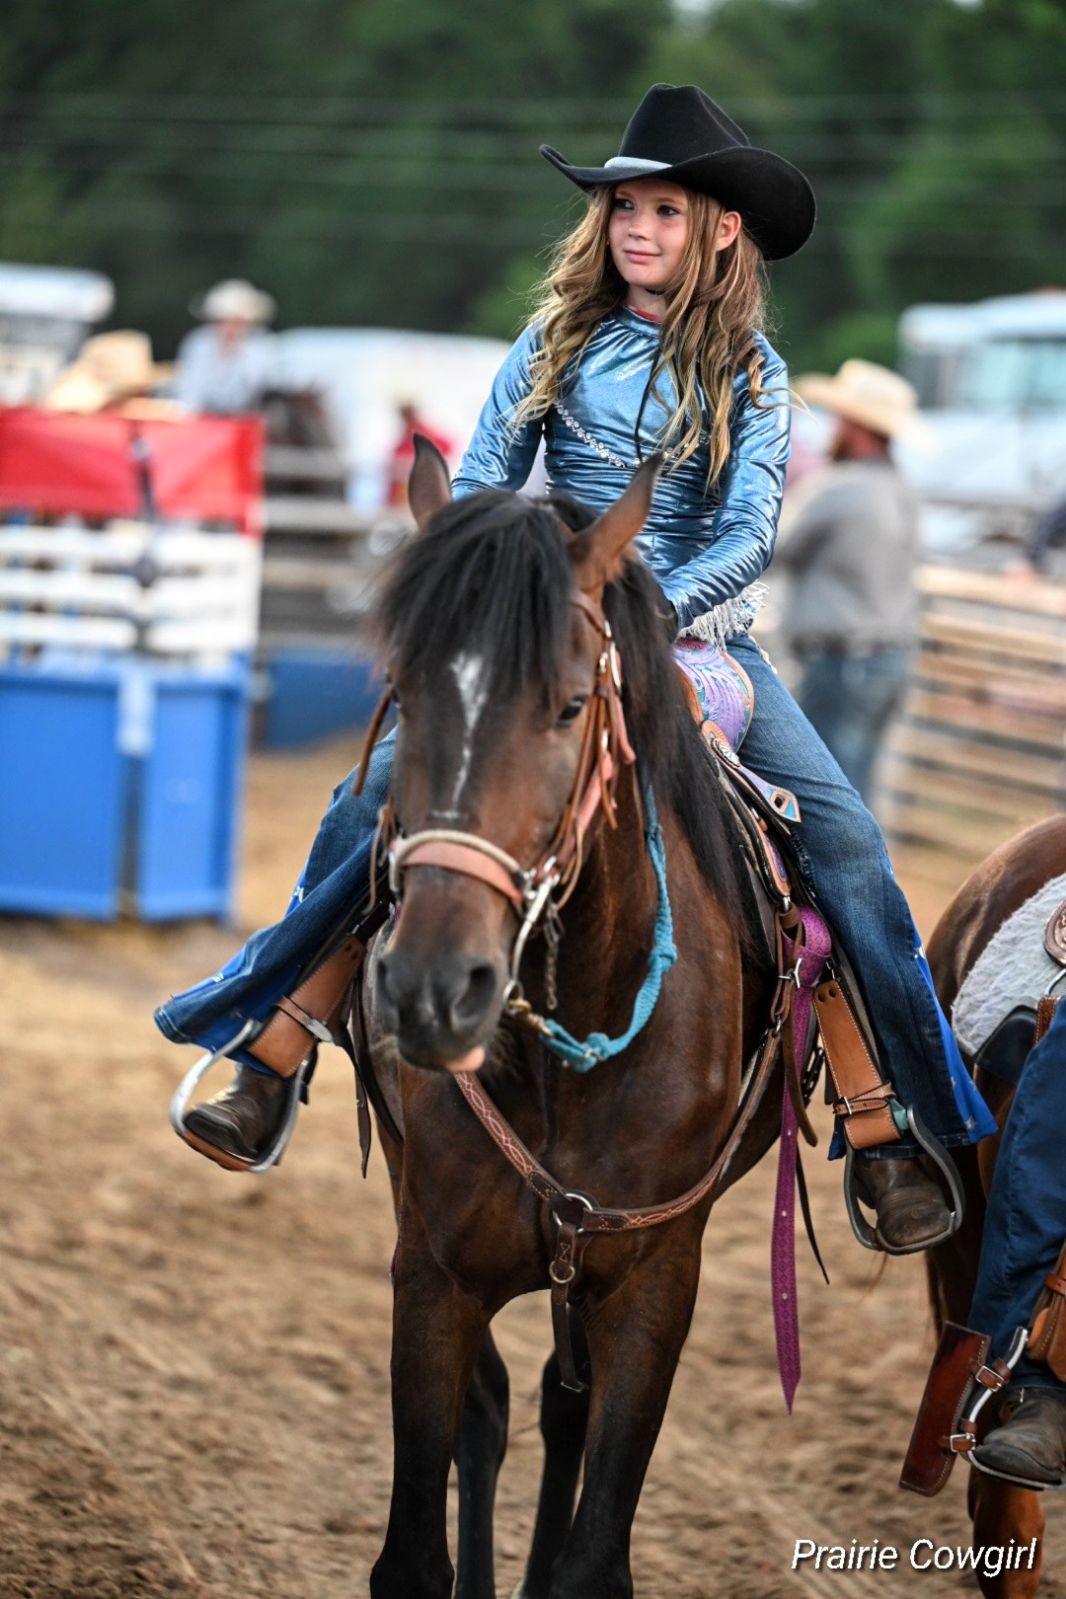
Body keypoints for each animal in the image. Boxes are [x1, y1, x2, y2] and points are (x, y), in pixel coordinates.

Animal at [357, 447, 792, 1599]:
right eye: (405, 693)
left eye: (565, 707)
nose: (433, 985)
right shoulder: (432, 1271)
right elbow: (416, 1546)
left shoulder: (654, 1287)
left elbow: (594, 1552)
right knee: (503, 1410)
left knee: (563, 1407)